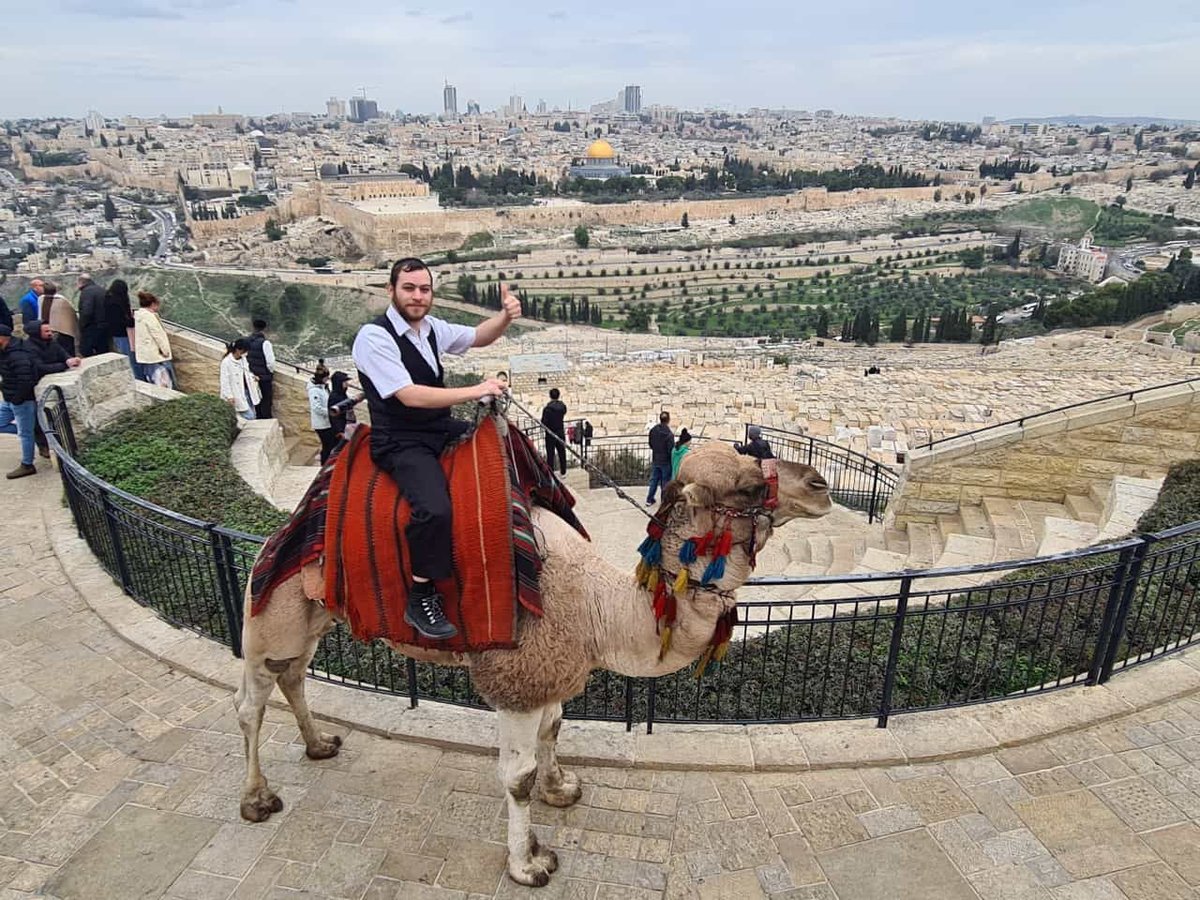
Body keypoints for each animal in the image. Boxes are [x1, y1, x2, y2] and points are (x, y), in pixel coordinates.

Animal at [234, 444, 835, 888]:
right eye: (748, 484)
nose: (820, 486)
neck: (598, 607)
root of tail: (279, 534)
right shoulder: (517, 683)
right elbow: (515, 778)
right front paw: (528, 863)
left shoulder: (552, 674)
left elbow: (555, 729)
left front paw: (560, 788)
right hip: (270, 613)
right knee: (251, 700)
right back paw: (257, 800)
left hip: (314, 616)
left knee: (293, 674)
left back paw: (319, 745)